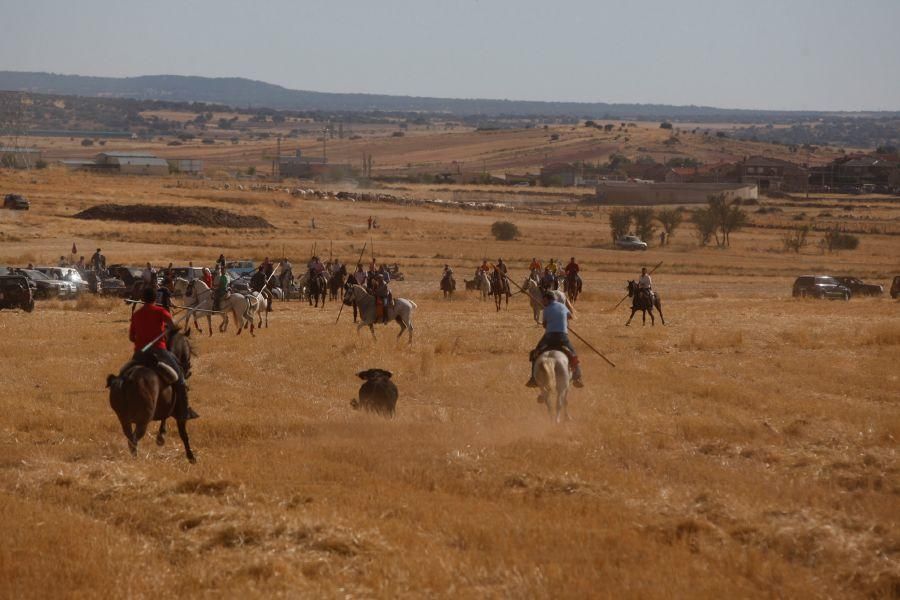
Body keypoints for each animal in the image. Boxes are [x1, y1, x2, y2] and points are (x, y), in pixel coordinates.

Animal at [106, 330, 196, 462]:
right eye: (188, 347)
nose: (188, 371)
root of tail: (127, 378)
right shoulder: (179, 412)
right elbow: (183, 433)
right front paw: (191, 457)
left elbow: (164, 418)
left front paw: (161, 437)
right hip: (143, 420)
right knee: (134, 440)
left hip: (124, 420)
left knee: (130, 438)